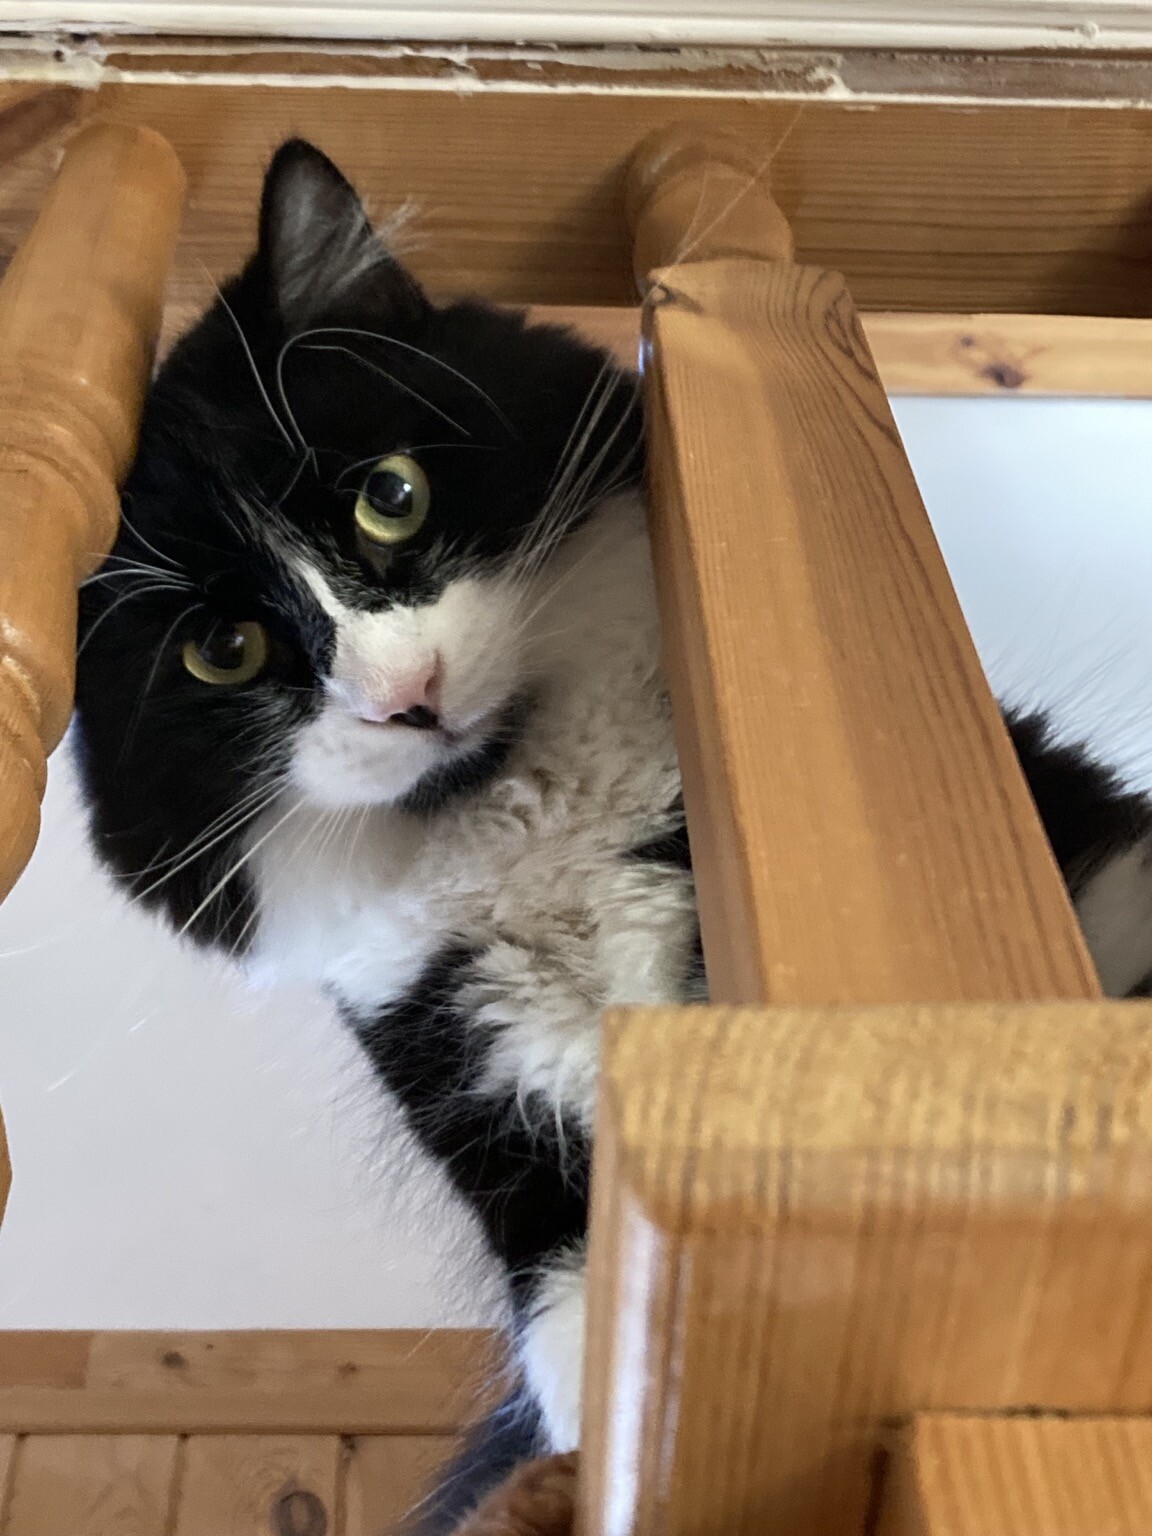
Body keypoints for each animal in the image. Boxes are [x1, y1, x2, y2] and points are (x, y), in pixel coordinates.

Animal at [72, 138, 1152, 1531]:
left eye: (390, 499)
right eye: (225, 649)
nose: (406, 694)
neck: (525, 821)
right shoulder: (480, 1098)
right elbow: (579, 1325)